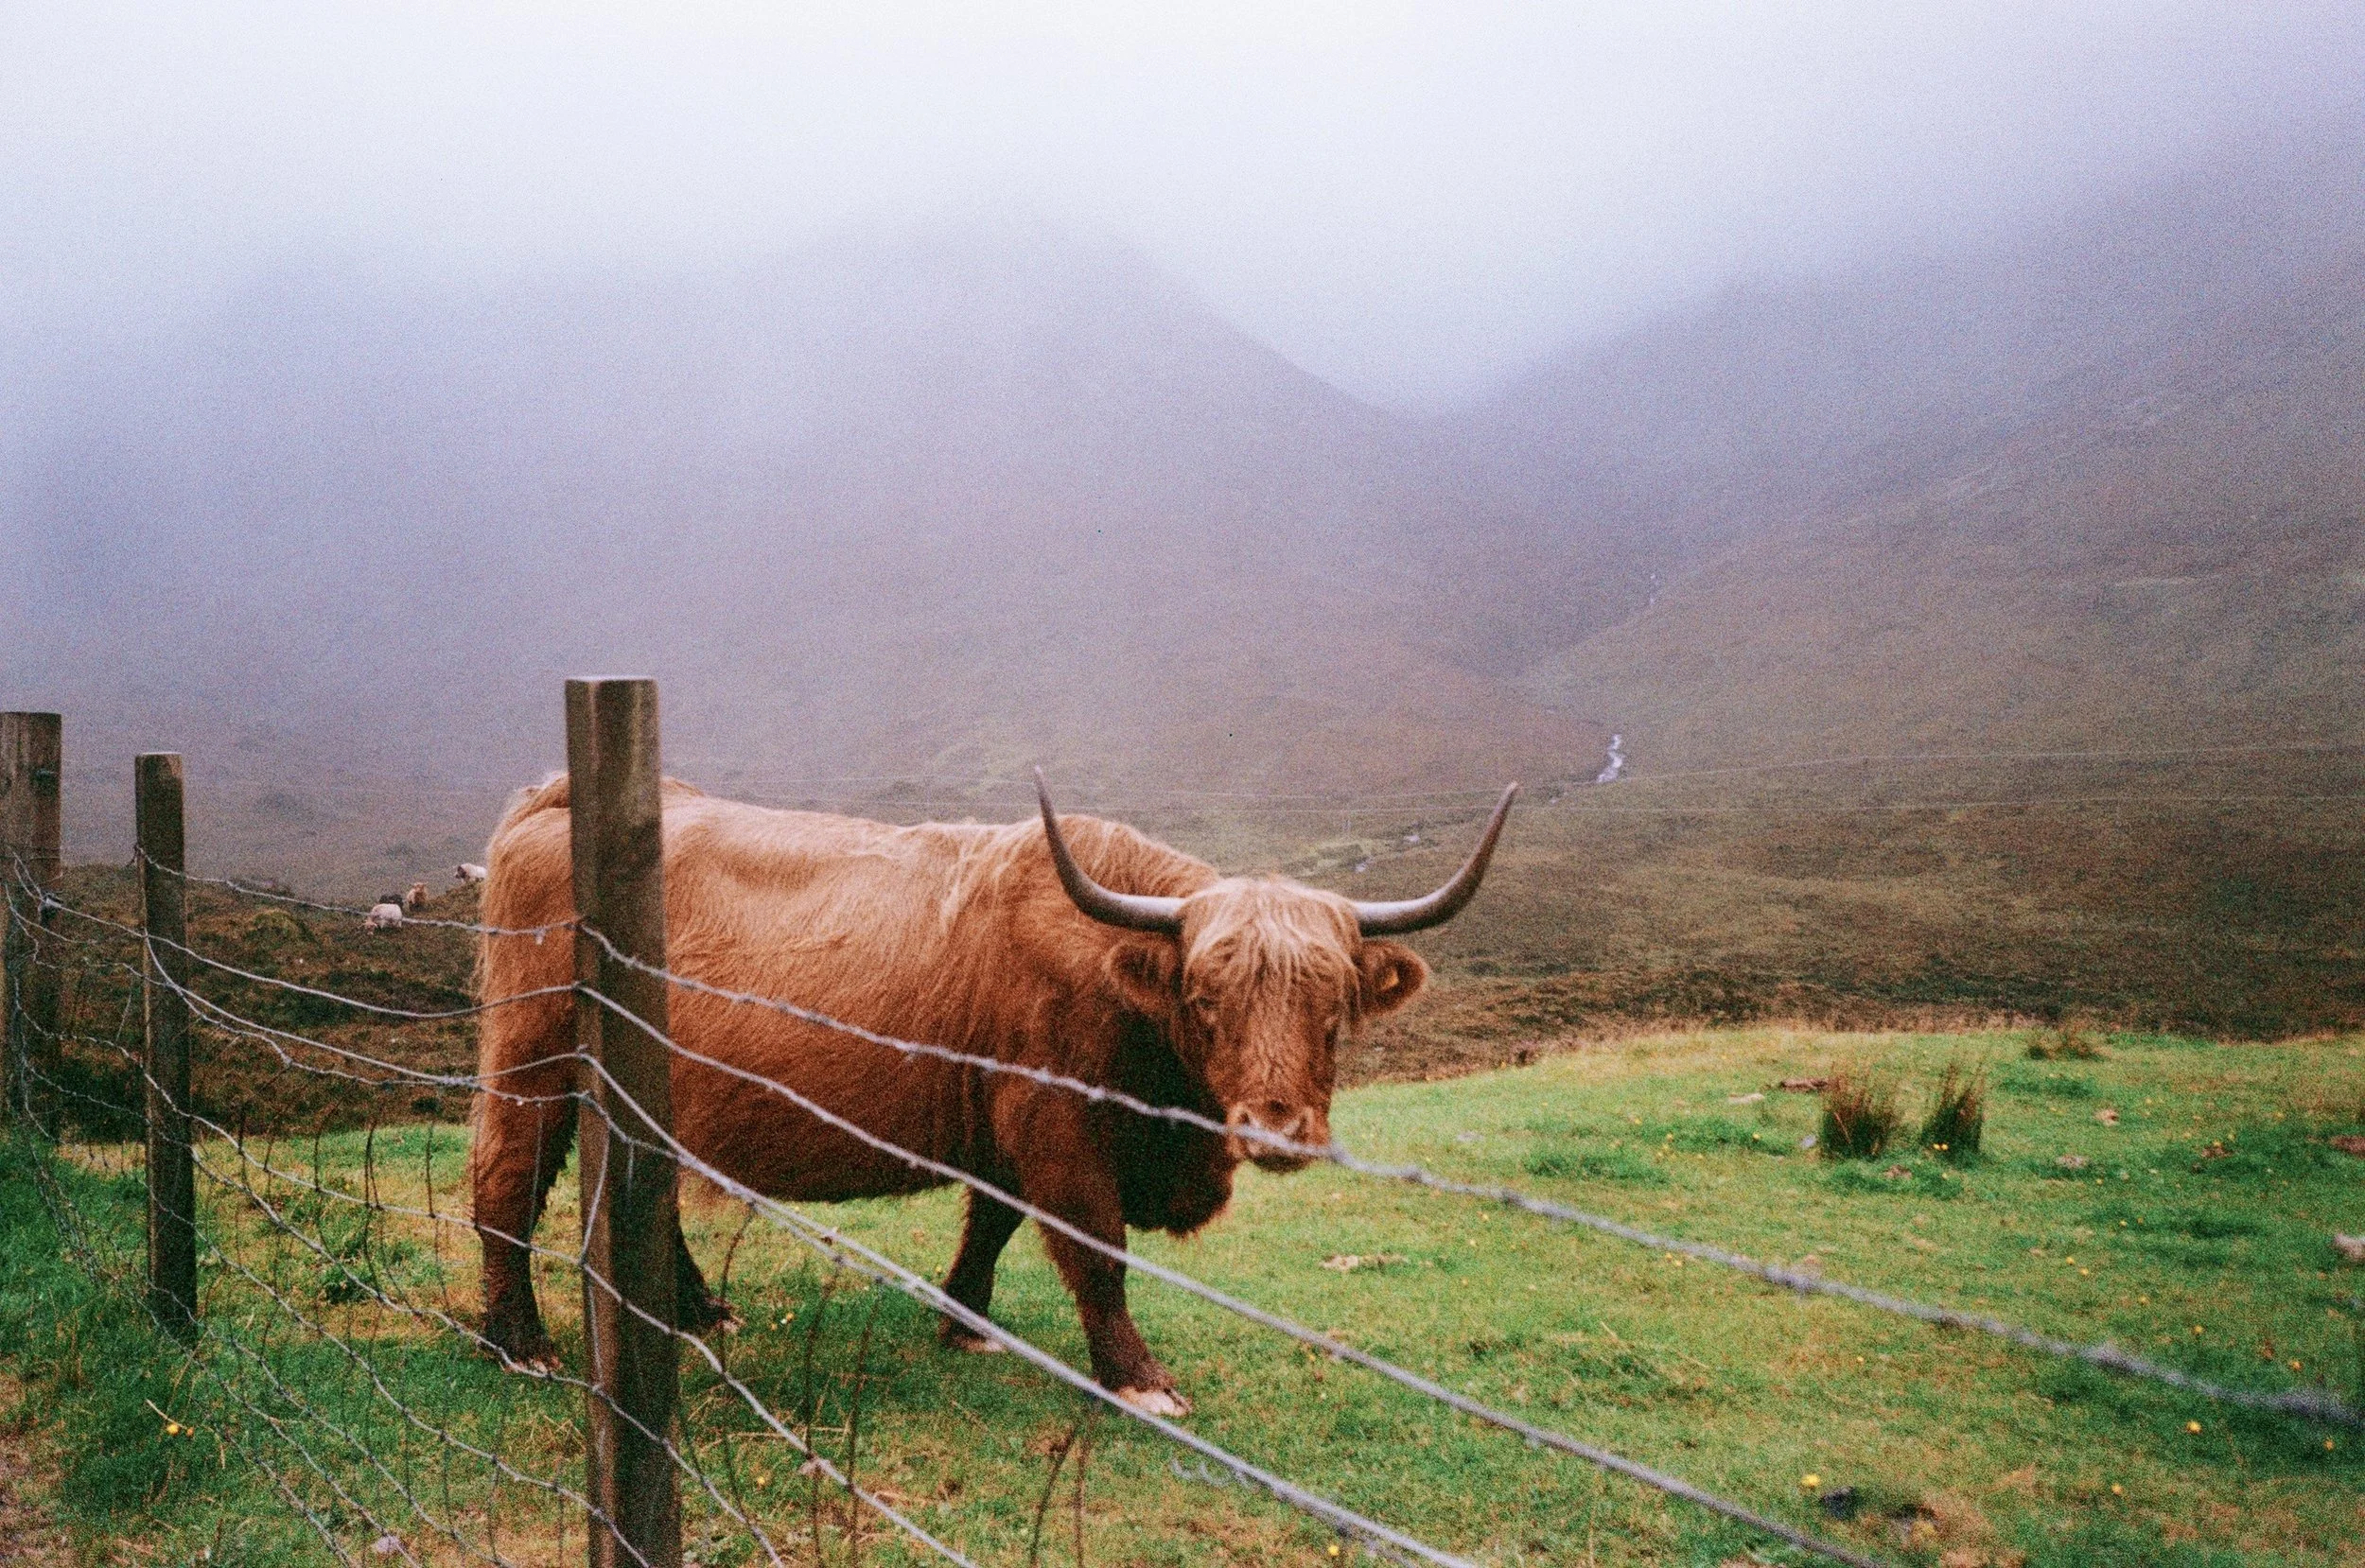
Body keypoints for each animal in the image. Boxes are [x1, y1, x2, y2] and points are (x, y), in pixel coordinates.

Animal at [470, 771, 1514, 1413]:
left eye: (1332, 1000)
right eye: (1205, 996)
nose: (1277, 1125)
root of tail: (547, 800)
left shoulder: (1006, 1124)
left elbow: (995, 1220)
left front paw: (965, 1318)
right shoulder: (1054, 1121)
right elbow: (1094, 1247)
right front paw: (1137, 1377)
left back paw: (693, 1309)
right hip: (530, 1056)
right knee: (505, 1180)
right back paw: (519, 1341)